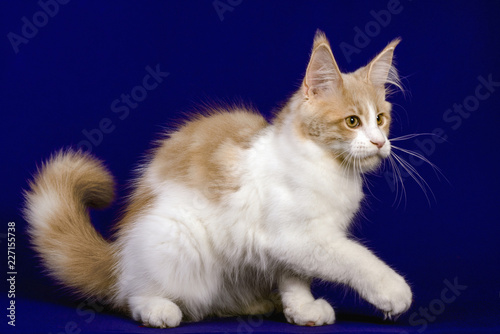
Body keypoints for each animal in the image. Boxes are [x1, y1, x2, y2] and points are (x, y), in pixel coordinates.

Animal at [24, 30, 410, 328]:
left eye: (381, 119)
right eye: (352, 122)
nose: (380, 143)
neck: (329, 167)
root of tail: (117, 258)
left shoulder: (290, 247)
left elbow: (295, 279)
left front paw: (302, 309)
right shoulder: (301, 237)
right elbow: (353, 257)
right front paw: (392, 289)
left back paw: (255, 304)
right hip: (176, 237)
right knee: (132, 293)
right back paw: (157, 309)